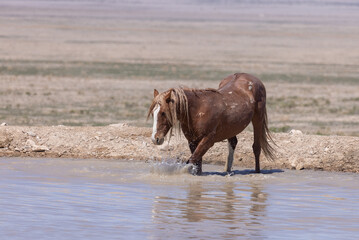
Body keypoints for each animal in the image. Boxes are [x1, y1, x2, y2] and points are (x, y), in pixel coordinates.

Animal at [146, 72, 276, 175]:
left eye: (163, 113)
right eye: (153, 113)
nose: (155, 138)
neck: (197, 110)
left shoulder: (208, 140)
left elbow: (192, 161)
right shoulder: (192, 141)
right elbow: (197, 163)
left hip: (258, 119)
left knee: (256, 147)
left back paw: (257, 172)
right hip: (231, 128)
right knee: (233, 143)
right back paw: (227, 171)